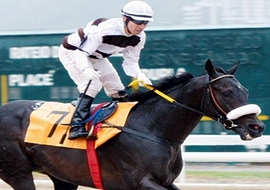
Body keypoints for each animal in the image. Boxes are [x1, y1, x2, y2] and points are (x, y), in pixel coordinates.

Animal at [0, 59, 266, 190]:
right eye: (225, 91)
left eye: (245, 90)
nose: (256, 127)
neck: (151, 129)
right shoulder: (139, 181)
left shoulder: (164, 182)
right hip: (18, 173)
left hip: (63, 178)